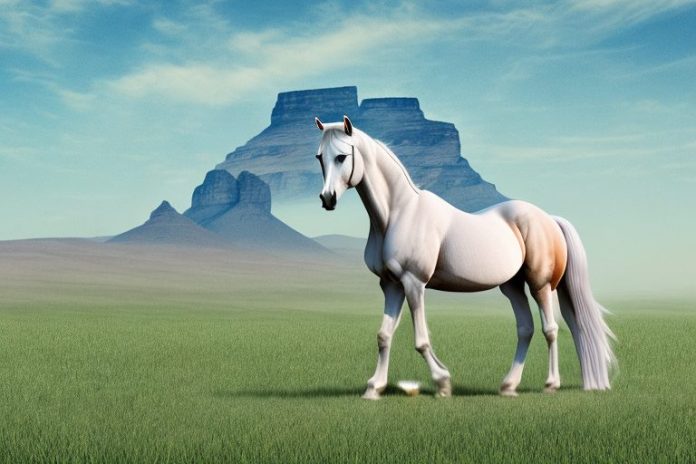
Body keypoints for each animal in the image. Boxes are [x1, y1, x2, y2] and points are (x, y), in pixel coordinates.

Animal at [314, 115, 616, 400]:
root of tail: (549, 219)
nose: (327, 199)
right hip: (512, 286)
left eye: (341, 156)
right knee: (525, 328)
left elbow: (421, 340)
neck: (398, 213)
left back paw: (551, 384)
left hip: (539, 285)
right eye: (319, 157)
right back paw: (508, 385)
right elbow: (384, 335)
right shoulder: (391, 285)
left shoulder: (414, 283)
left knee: (550, 329)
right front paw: (374, 388)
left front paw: (442, 382)